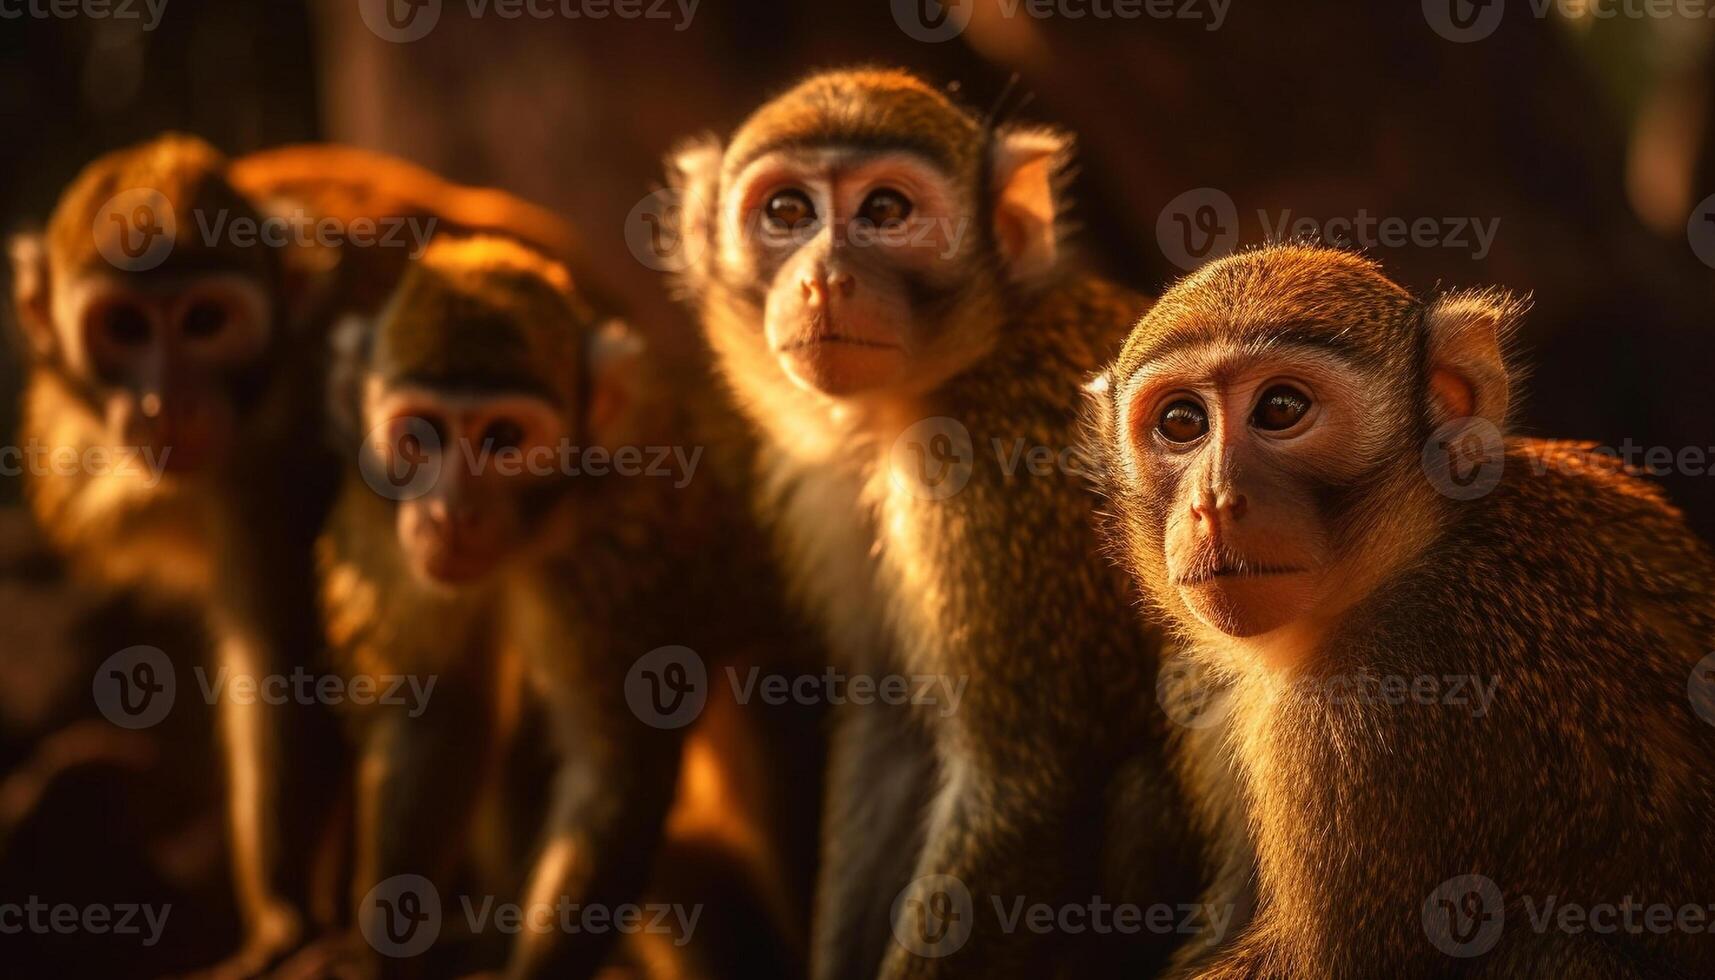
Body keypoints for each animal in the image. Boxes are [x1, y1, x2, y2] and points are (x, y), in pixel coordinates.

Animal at [320, 238, 816, 980]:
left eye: (502, 439)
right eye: (418, 438)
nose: (450, 513)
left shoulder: (615, 569)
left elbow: (615, 778)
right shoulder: (382, 529)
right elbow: (436, 717)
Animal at [661, 66, 1200, 974]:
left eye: (884, 211)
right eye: (787, 212)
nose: (824, 277)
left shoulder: (990, 465)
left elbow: (1023, 787)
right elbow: (889, 735)